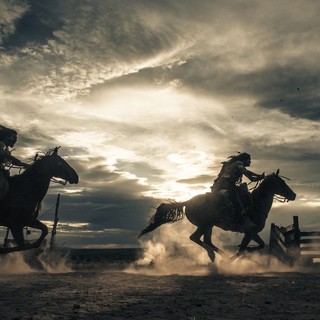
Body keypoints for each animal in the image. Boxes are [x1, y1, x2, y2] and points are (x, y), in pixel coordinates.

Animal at [139, 170, 296, 262]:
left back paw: (214, 255)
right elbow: (243, 248)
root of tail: (188, 201)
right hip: (205, 225)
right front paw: (236, 257)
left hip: (208, 226)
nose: (293, 195)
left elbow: (259, 245)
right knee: (196, 238)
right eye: (281, 182)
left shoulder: (251, 232)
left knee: (205, 240)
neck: (256, 205)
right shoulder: (249, 232)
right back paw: (219, 256)